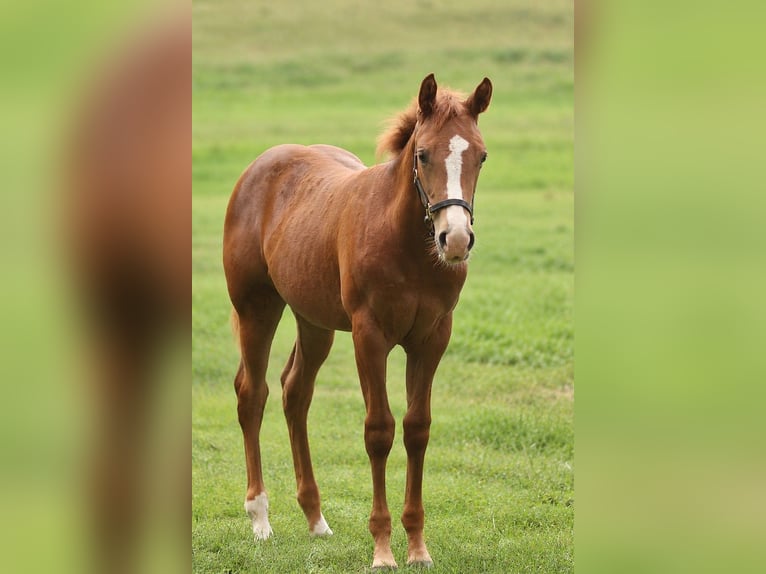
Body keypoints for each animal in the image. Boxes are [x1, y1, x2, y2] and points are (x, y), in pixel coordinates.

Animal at [223, 73, 492, 569]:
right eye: (423, 154)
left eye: (481, 155)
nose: (456, 239)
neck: (408, 245)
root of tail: (259, 166)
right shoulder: (370, 336)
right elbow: (379, 431)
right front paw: (383, 550)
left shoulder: (432, 338)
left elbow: (417, 428)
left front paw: (418, 547)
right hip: (257, 308)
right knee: (253, 394)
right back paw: (260, 518)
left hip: (314, 321)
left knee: (295, 392)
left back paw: (315, 518)